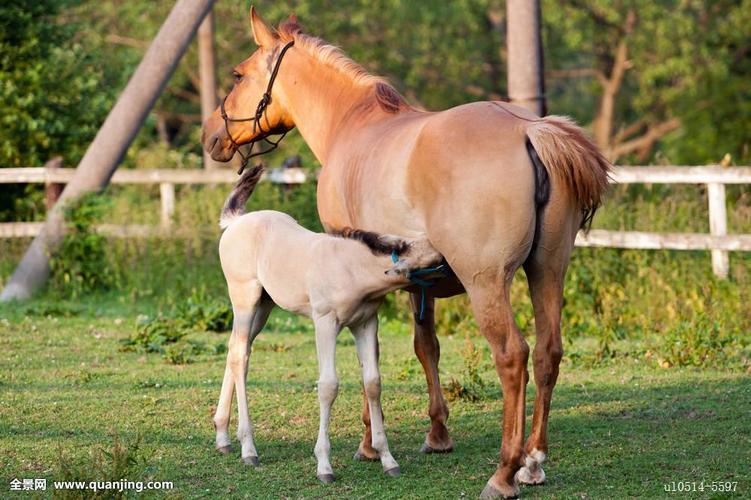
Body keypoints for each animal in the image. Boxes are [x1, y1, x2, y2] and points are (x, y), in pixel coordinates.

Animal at [202, 8, 610, 498]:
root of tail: (530, 130)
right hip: (547, 271)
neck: (353, 125)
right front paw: (437, 434)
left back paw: (505, 471)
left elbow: (368, 363)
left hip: (487, 283)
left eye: (238, 74)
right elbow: (424, 346)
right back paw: (533, 461)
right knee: (549, 353)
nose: (210, 134)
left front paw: (368, 444)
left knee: (513, 357)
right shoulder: (420, 281)